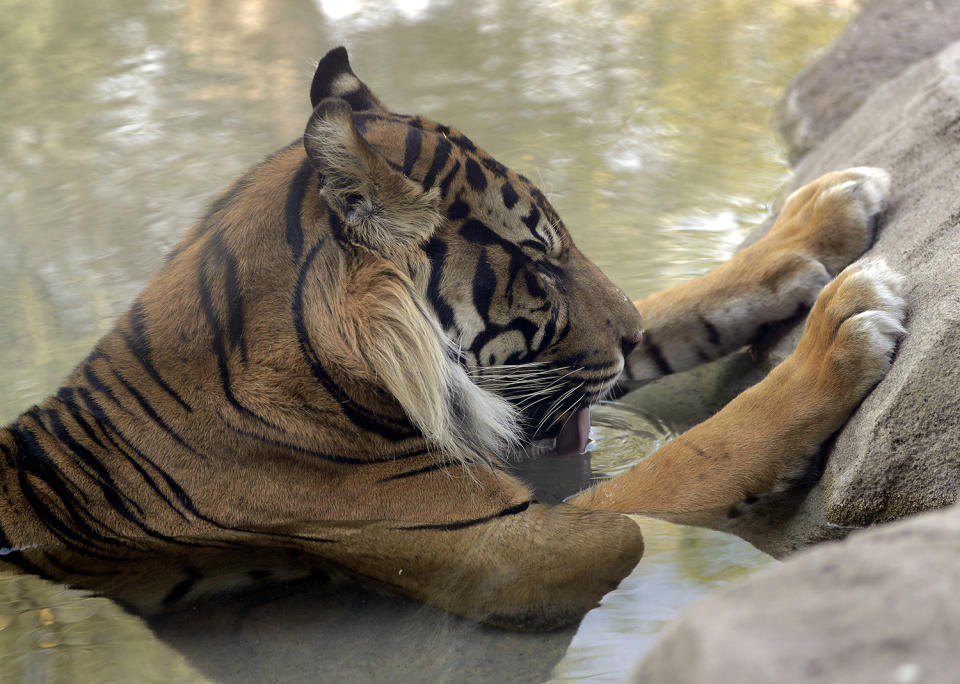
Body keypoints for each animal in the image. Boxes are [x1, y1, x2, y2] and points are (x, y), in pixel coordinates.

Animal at [0, 46, 908, 632]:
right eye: (538, 262)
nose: (624, 335)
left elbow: (680, 307)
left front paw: (823, 215)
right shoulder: (507, 545)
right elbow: (687, 463)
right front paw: (841, 328)